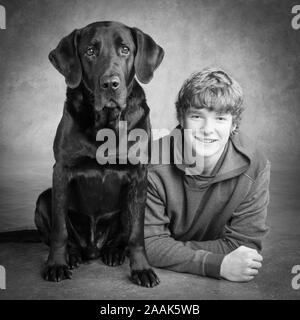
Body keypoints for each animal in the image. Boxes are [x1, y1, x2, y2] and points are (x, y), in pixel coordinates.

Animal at [34, 22, 164, 288]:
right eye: (90, 52)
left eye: (125, 49)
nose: (110, 84)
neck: (106, 123)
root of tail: (93, 248)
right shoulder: (61, 170)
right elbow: (59, 230)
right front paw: (56, 264)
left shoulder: (139, 174)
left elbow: (137, 234)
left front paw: (142, 269)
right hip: (44, 198)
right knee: (63, 233)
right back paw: (73, 255)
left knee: (123, 237)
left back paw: (113, 252)